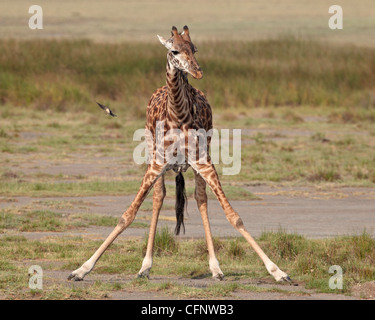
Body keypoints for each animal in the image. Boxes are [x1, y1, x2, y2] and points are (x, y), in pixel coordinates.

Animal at [68, 26, 294, 284]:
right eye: (174, 50)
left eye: (195, 49)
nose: (197, 71)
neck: (177, 115)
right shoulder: (157, 164)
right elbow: (128, 215)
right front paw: (81, 269)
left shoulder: (203, 162)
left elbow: (233, 215)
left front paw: (278, 271)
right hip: (151, 157)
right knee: (158, 197)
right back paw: (145, 266)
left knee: (200, 198)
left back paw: (215, 268)